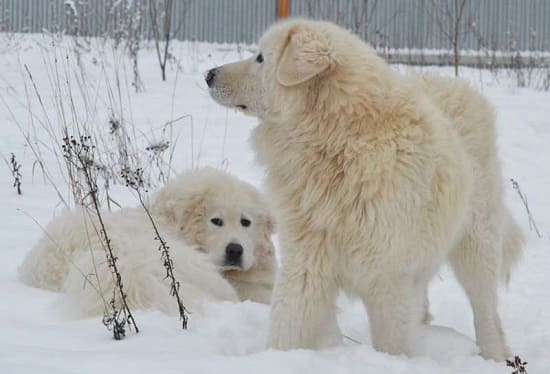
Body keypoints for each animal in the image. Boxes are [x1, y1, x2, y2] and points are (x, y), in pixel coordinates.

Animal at [208, 19, 528, 360]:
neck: (339, 145)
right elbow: (288, 323)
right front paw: (278, 358)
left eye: (260, 58)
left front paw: (395, 362)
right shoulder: (305, 261)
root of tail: (455, 84)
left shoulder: (388, 273)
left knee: (485, 309)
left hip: (476, 243)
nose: (209, 75)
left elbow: (393, 341)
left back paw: (495, 356)